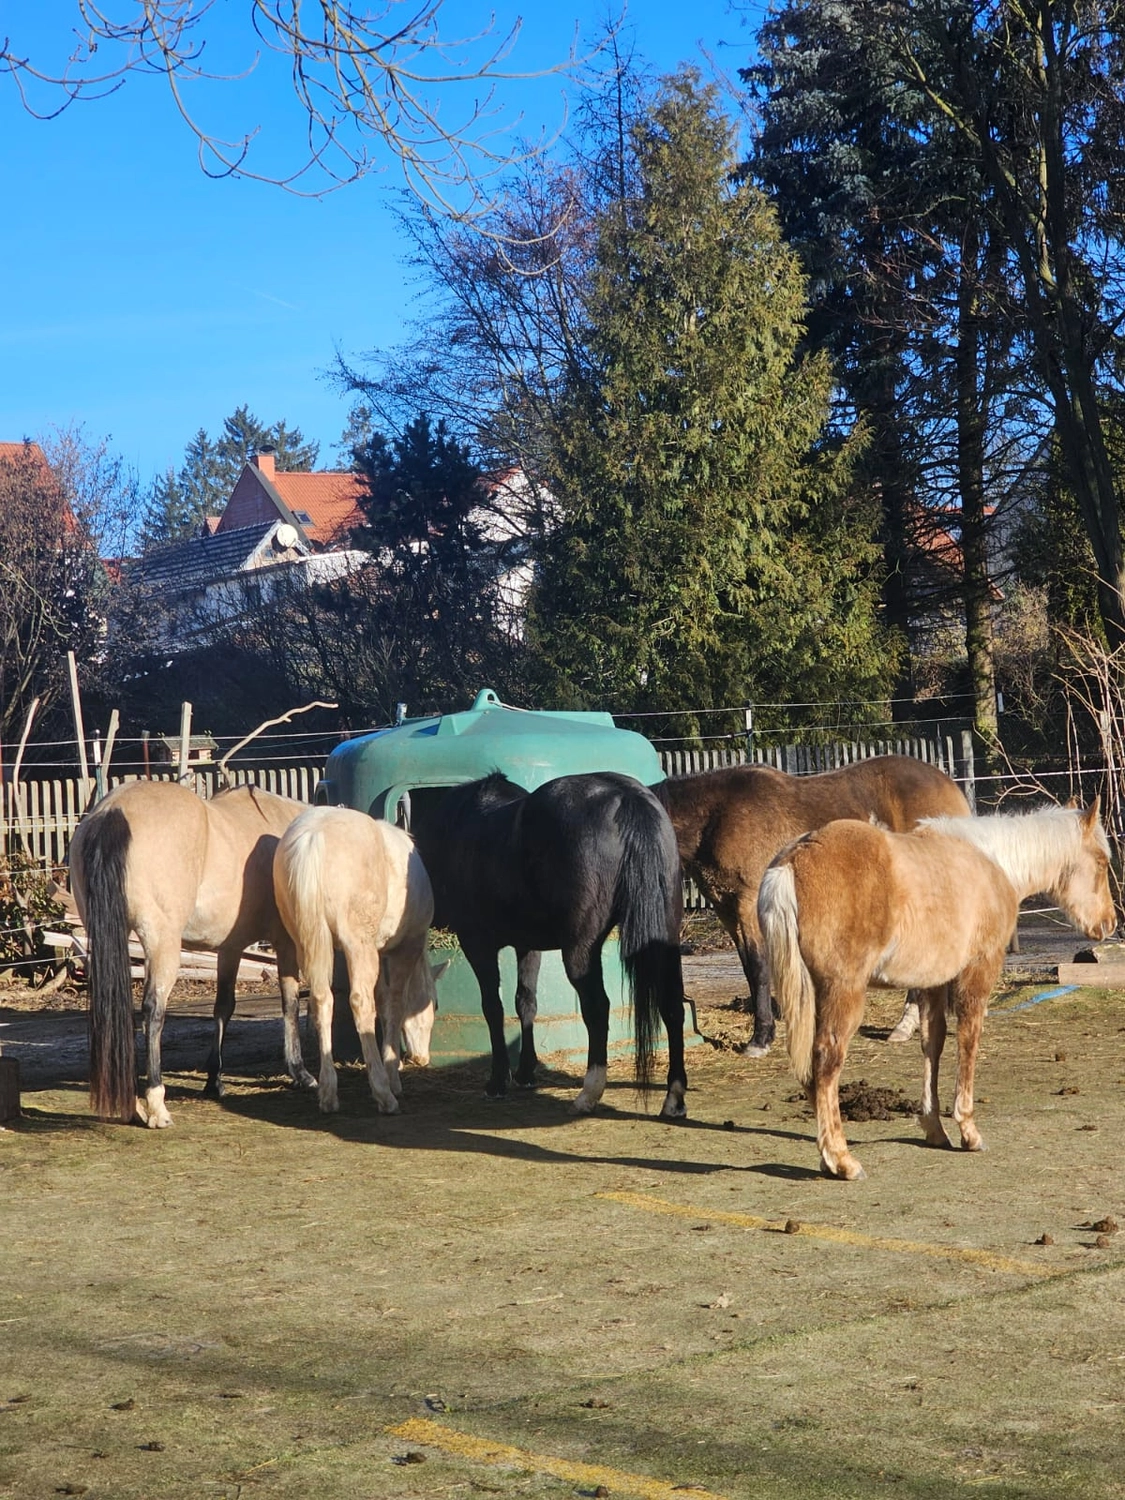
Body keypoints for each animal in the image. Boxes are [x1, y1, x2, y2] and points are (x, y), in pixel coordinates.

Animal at [69, 780, 313, 1128]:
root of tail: (112, 811)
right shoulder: (285, 943)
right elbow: (291, 1004)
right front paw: (300, 1072)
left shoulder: (230, 948)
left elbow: (224, 1008)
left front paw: (214, 1080)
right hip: (162, 942)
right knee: (153, 1010)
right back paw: (156, 1104)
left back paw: (132, 1104)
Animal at [272, 806, 444, 1115]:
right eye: (434, 1004)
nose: (422, 1059)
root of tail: (312, 837)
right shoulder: (404, 949)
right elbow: (394, 1003)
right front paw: (393, 1075)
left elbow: (384, 1000)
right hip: (357, 944)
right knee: (361, 1002)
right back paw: (383, 1093)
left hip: (304, 940)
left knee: (320, 999)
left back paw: (328, 1093)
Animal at [410, 771, 687, 1117]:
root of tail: (626, 796)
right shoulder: (528, 946)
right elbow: (526, 1002)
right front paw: (526, 1072)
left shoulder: (477, 944)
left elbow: (493, 1007)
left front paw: (498, 1081)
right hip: (664, 936)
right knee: (672, 1005)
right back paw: (674, 1098)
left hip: (581, 950)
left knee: (598, 1008)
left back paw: (588, 1094)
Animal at [654, 755, 971, 1055]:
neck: (717, 814)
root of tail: (949, 785)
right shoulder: (727, 911)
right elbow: (747, 968)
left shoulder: (748, 905)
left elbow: (758, 968)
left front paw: (760, 1039)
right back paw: (906, 1026)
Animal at [758, 800, 1116, 1180]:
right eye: (1101, 861)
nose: (1108, 924)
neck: (994, 863)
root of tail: (794, 858)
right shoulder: (978, 972)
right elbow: (968, 1041)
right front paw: (968, 1131)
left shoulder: (930, 985)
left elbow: (933, 1044)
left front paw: (934, 1129)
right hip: (842, 992)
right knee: (827, 1058)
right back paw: (842, 1160)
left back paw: (828, 1158)